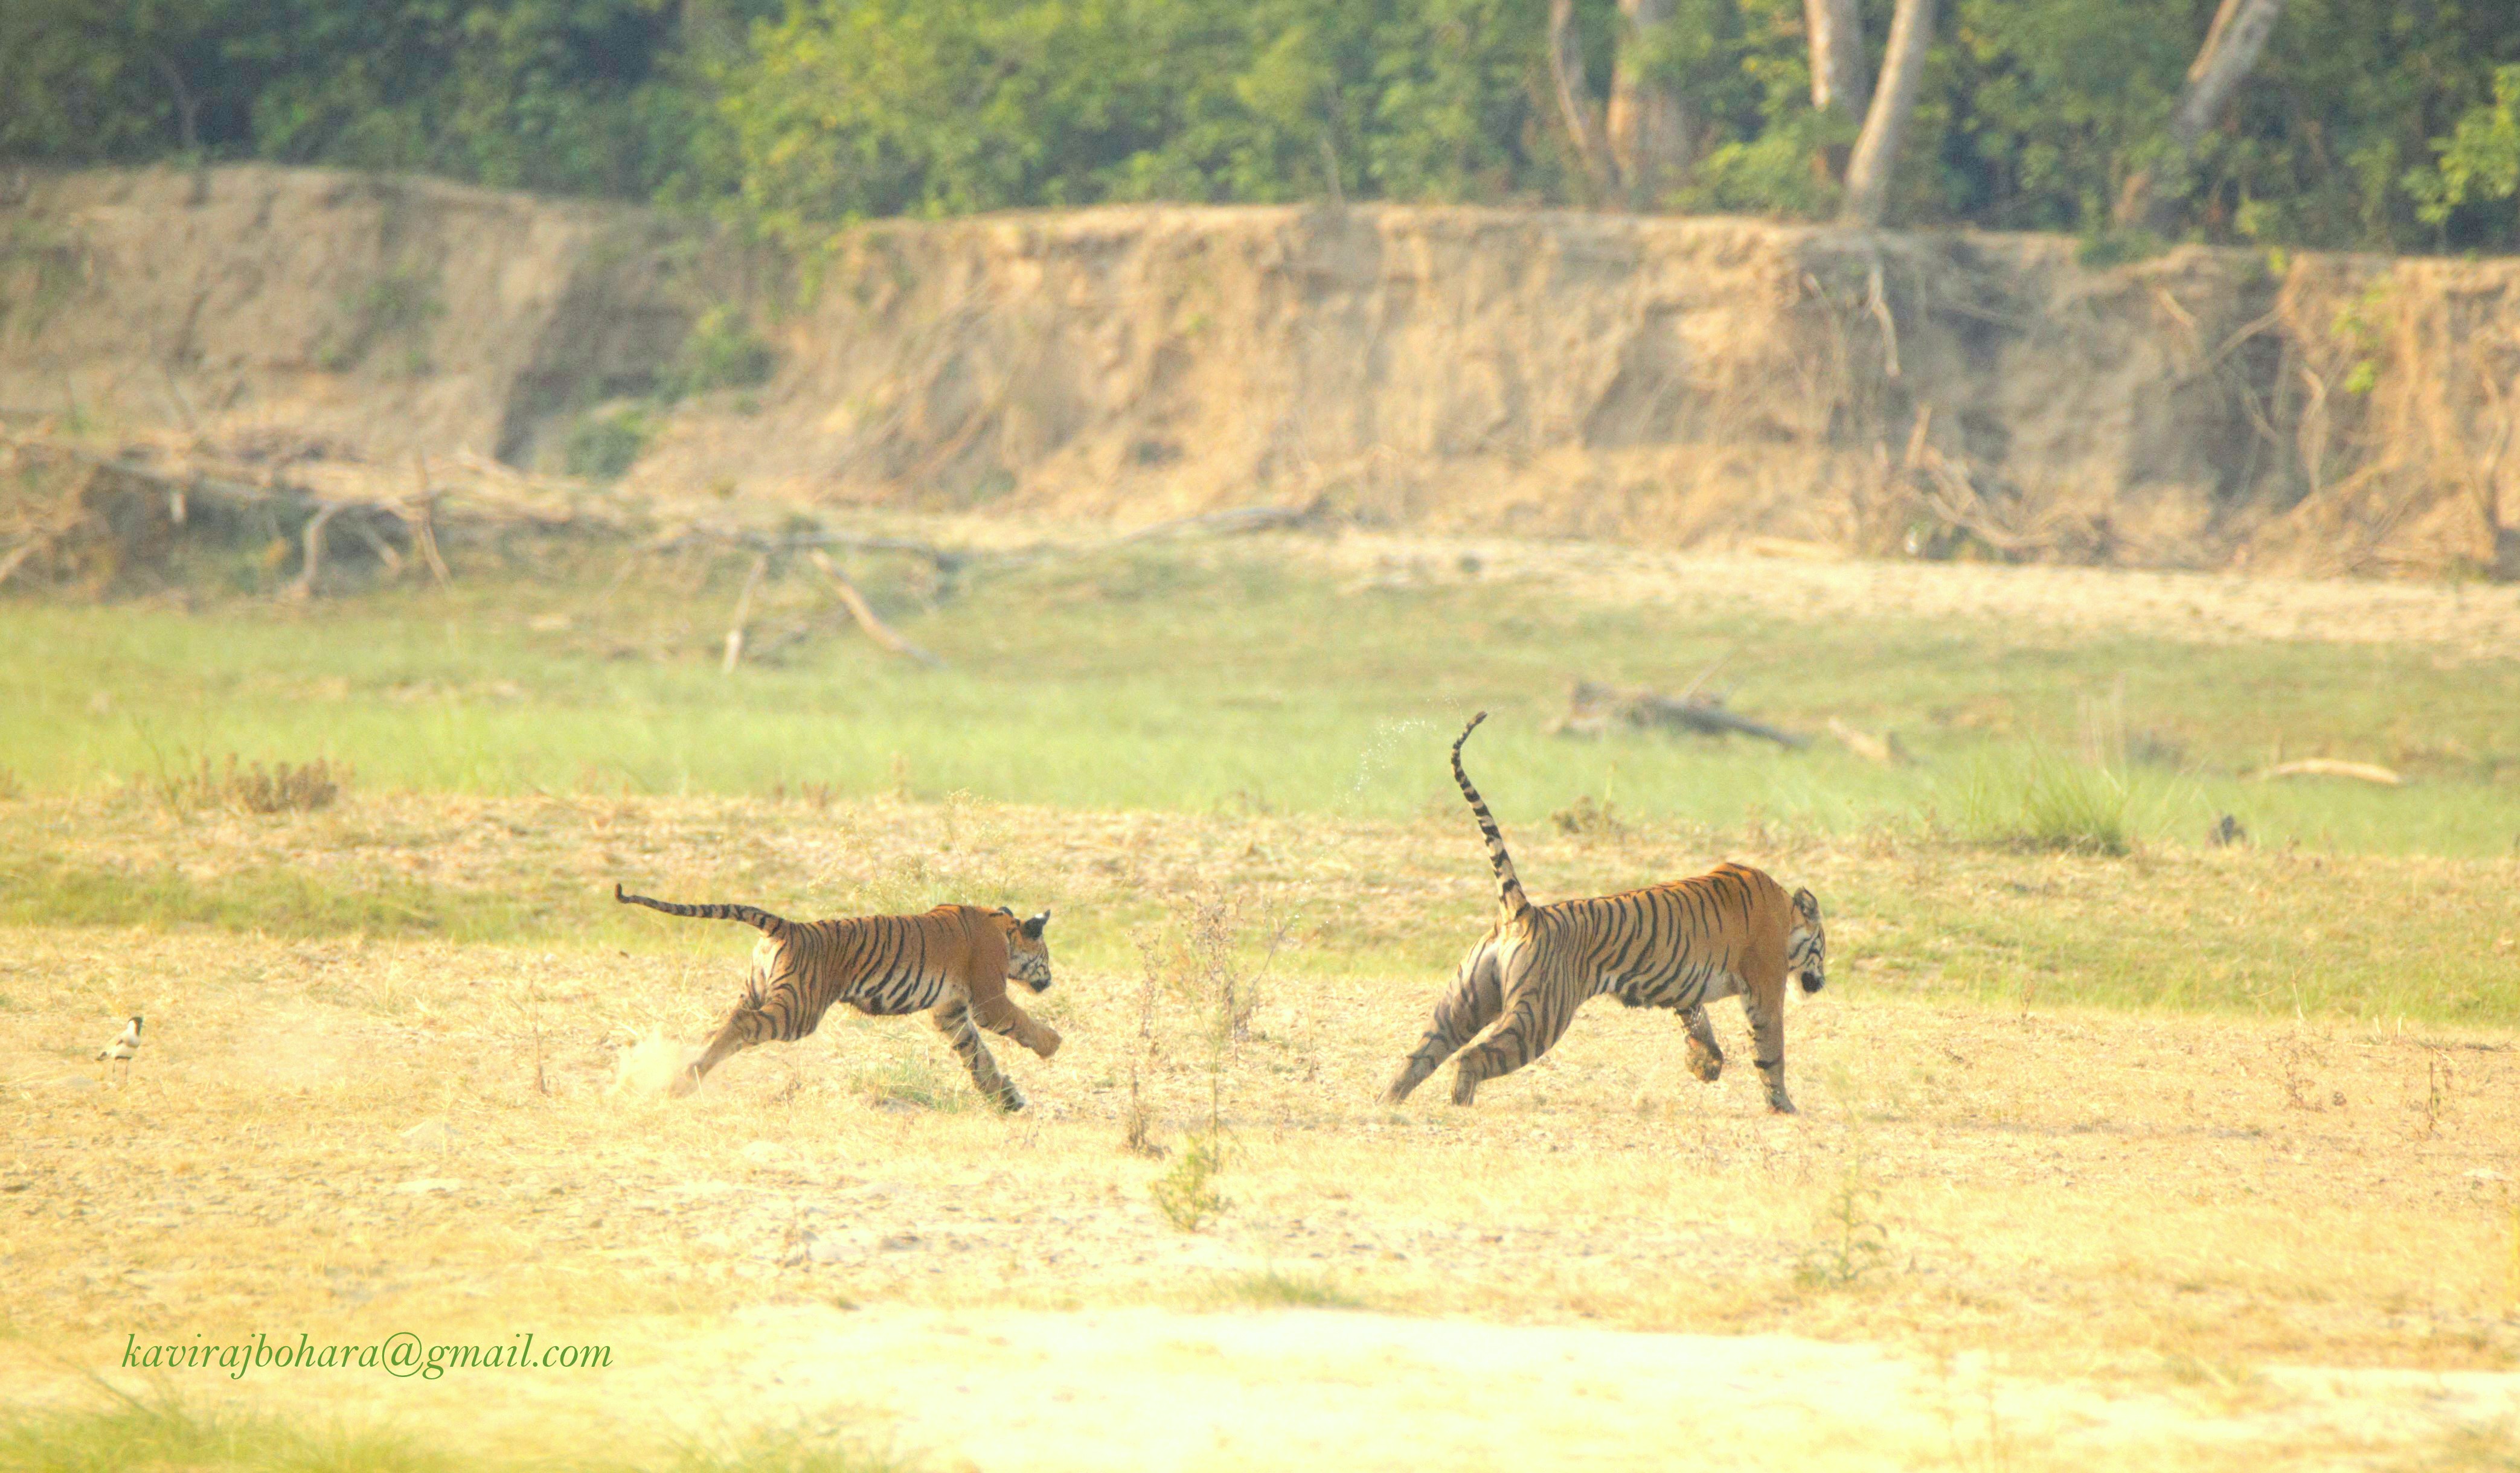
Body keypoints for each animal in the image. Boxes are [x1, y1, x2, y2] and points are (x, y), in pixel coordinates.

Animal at [613, 884, 1060, 1111]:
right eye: (1047, 957)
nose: (1051, 980)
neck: (1003, 928)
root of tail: (787, 926)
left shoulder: (950, 1012)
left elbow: (977, 1056)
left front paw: (1008, 1099)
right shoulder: (988, 1000)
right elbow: (1017, 1024)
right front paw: (1052, 1045)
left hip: (756, 992)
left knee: (721, 1028)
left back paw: (683, 1074)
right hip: (797, 1011)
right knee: (743, 1026)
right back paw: (684, 1081)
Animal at [1381, 712, 1826, 1115]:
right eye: (1823, 948)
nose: (1821, 983)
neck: (1786, 913)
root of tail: (1524, 913)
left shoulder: (1688, 990)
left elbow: (1699, 1026)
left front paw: (1706, 1066)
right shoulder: (1765, 989)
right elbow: (1771, 1052)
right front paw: (1783, 1107)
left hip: (1461, 1004)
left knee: (1419, 1055)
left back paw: (1385, 1103)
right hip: (1538, 1017)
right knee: (1470, 1057)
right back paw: (1460, 1105)